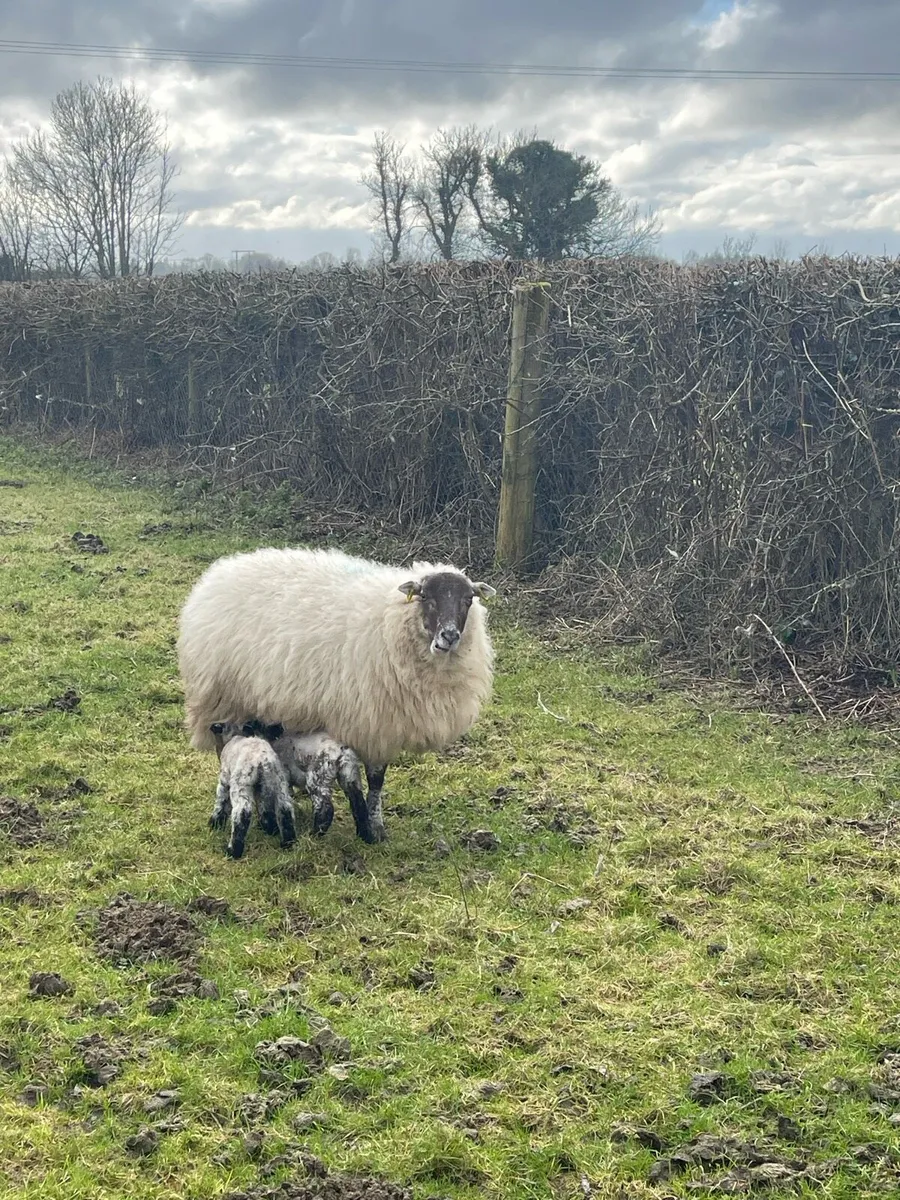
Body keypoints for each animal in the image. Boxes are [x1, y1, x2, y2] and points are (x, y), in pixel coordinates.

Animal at [178, 547, 496, 842]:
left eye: (468, 599)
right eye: (425, 597)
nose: (449, 636)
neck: (389, 621)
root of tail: (223, 569)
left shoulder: (383, 724)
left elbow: (375, 782)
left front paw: (373, 826)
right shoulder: (373, 721)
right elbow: (375, 778)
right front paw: (374, 827)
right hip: (225, 699)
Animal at [208, 720, 296, 858]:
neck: (235, 735)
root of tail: (263, 761)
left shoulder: (224, 779)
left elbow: (220, 804)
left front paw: (215, 824)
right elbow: (263, 808)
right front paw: (267, 826)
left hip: (241, 784)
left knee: (241, 813)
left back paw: (233, 851)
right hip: (279, 782)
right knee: (285, 809)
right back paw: (287, 842)